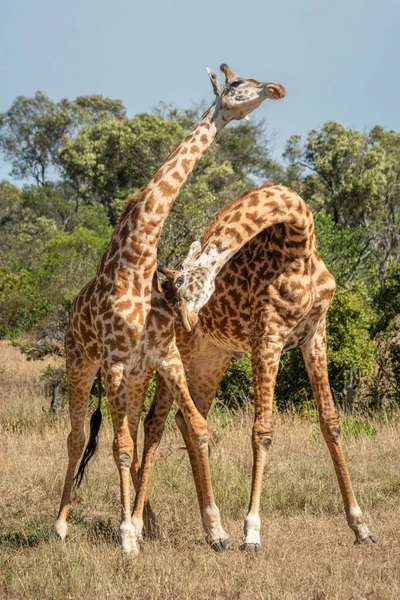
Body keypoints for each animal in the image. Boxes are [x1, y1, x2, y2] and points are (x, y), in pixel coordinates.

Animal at [50, 64, 288, 552]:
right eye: (237, 84)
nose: (275, 89)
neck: (136, 262)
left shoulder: (165, 357)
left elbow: (196, 428)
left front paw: (217, 531)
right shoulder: (116, 361)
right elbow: (119, 446)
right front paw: (127, 536)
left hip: (135, 376)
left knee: (128, 432)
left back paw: (142, 519)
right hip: (81, 364)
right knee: (79, 436)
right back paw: (61, 525)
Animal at [141, 180, 376, 552]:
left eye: (180, 287)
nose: (183, 321)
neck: (300, 242)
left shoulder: (316, 333)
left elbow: (331, 422)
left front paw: (360, 526)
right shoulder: (269, 336)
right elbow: (263, 430)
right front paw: (251, 532)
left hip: (213, 357)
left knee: (186, 419)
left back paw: (210, 530)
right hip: (183, 355)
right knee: (154, 422)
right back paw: (147, 523)